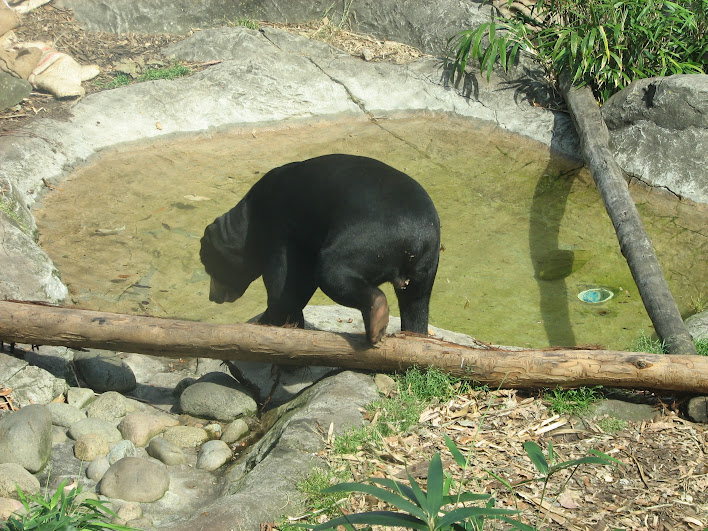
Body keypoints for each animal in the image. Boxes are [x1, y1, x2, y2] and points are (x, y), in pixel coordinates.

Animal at [199, 153, 440, 344]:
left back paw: (377, 315)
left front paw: (270, 321)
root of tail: (414, 234)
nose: (213, 297)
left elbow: (283, 278)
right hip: (426, 264)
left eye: (209, 267)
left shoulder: (280, 224)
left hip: (368, 239)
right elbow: (299, 282)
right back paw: (415, 334)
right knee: (416, 303)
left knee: (333, 272)